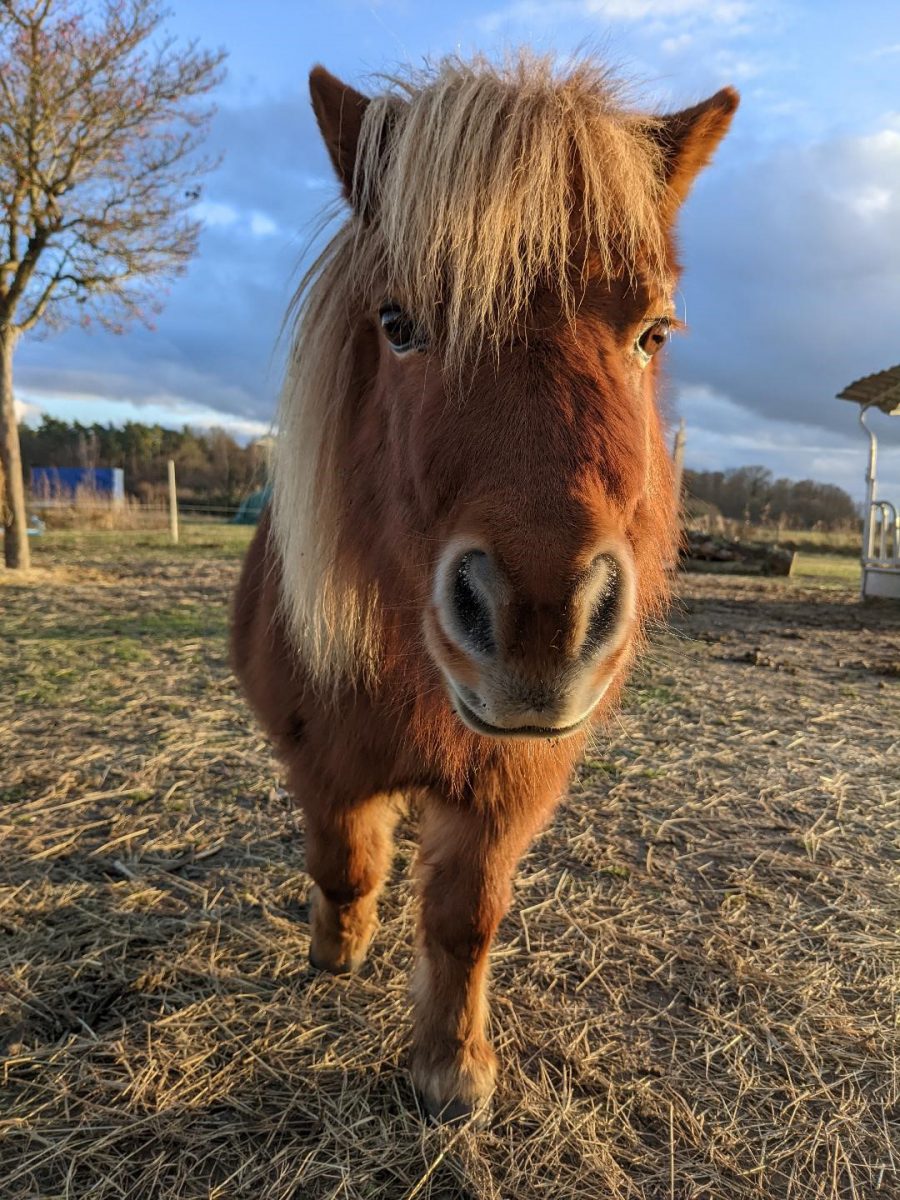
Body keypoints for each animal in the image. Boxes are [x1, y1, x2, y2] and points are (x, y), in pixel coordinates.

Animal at [234, 54, 739, 1123]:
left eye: (654, 334)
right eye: (398, 325)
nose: (544, 623)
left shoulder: (508, 787)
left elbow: (467, 917)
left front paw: (450, 1066)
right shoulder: (320, 760)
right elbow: (343, 860)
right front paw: (338, 948)